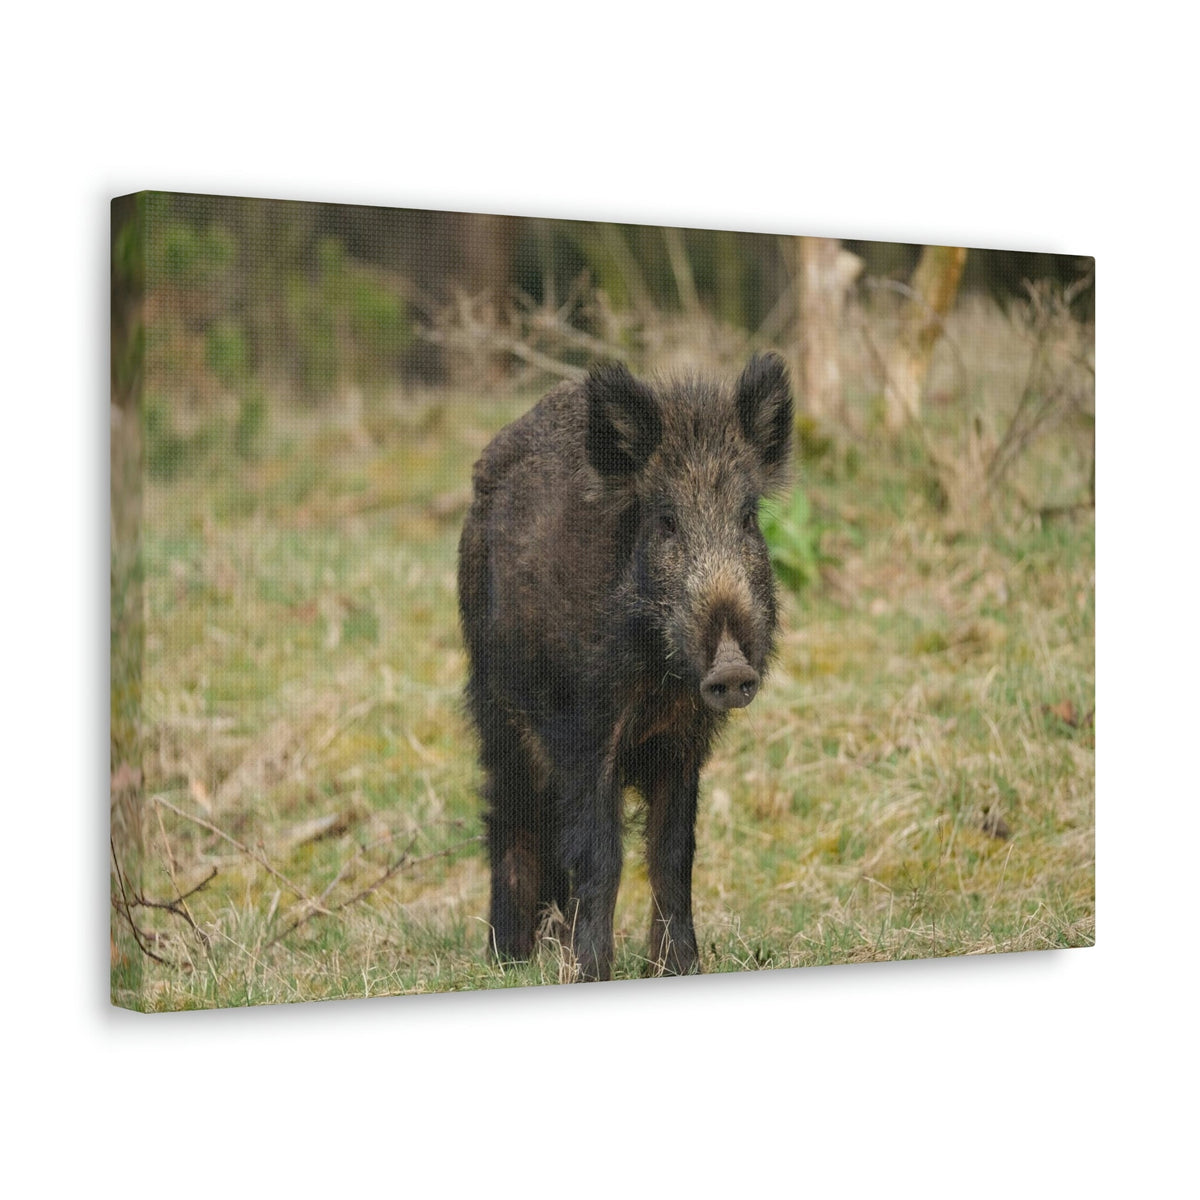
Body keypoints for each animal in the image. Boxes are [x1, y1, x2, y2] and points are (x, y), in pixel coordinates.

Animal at [457, 353, 793, 981]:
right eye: (666, 521)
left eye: (747, 518)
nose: (731, 668)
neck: (657, 678)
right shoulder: (583, 729)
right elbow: (601, 853)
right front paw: (590, 973)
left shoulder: (686, 739)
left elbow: (674, 853)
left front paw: (681, 968)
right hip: (494, 702)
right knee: (510, 812)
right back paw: (508, 959)